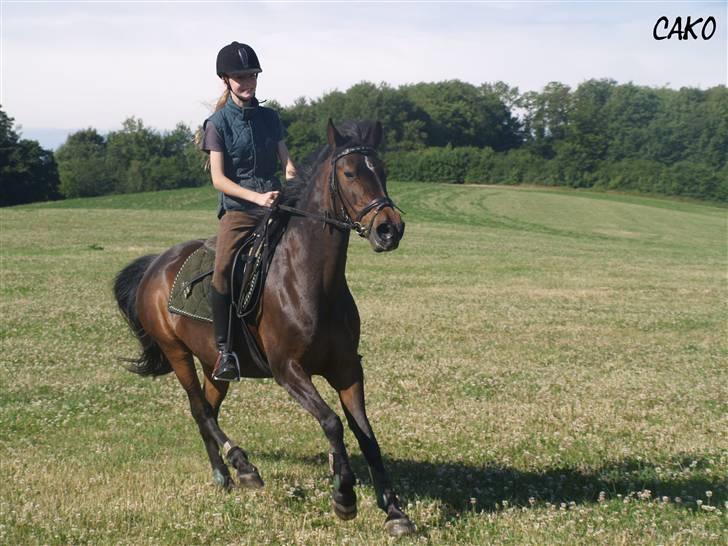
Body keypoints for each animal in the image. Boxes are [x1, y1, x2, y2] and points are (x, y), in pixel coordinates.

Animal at [112, 120, 416, 536]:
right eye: (350, 173)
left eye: (382, 171)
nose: (389, 229)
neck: (312, 280)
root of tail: (157, 264)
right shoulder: (288, 370)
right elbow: (332, 423)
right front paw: (344, 496)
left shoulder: (348, 369)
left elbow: (365, 435)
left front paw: (395, 511)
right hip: (177, 354)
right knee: (201, 410)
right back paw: (243, 466)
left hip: (213, 366)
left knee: (206, 410)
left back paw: (224, 474)